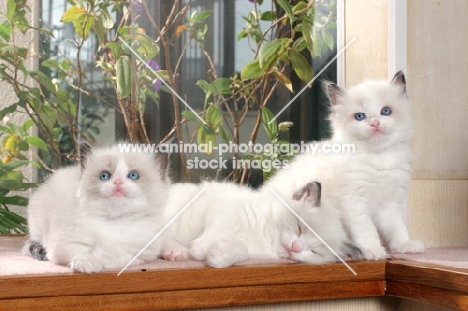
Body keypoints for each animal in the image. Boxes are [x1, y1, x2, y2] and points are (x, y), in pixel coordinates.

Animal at [23, 144, 170, 272]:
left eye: (134, 175)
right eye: (104, 176)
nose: (117, 182)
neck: (115, 222)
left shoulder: (143, 253)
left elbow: (120, 257)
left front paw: (102, 256)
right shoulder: (62, 244)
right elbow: (80, 251)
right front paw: (88, 263)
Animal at [159, 183, 360, 268]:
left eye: (313, 251)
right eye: (299, 228)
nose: (295, 247)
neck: (267, 236)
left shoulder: (252, 251)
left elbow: (240, 250)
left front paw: (217, 256)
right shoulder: (226, 207)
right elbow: (215, 231)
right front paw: (199, 250)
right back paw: (177, 251)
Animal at [264, 70, 424, 260]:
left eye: (386, 111)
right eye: (360, 116)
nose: (375, 123)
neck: (377, 158)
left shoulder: (389, 203)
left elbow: (396, 227)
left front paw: (404, 245)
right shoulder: (353, 200)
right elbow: (366, 228)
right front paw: (373, 250)